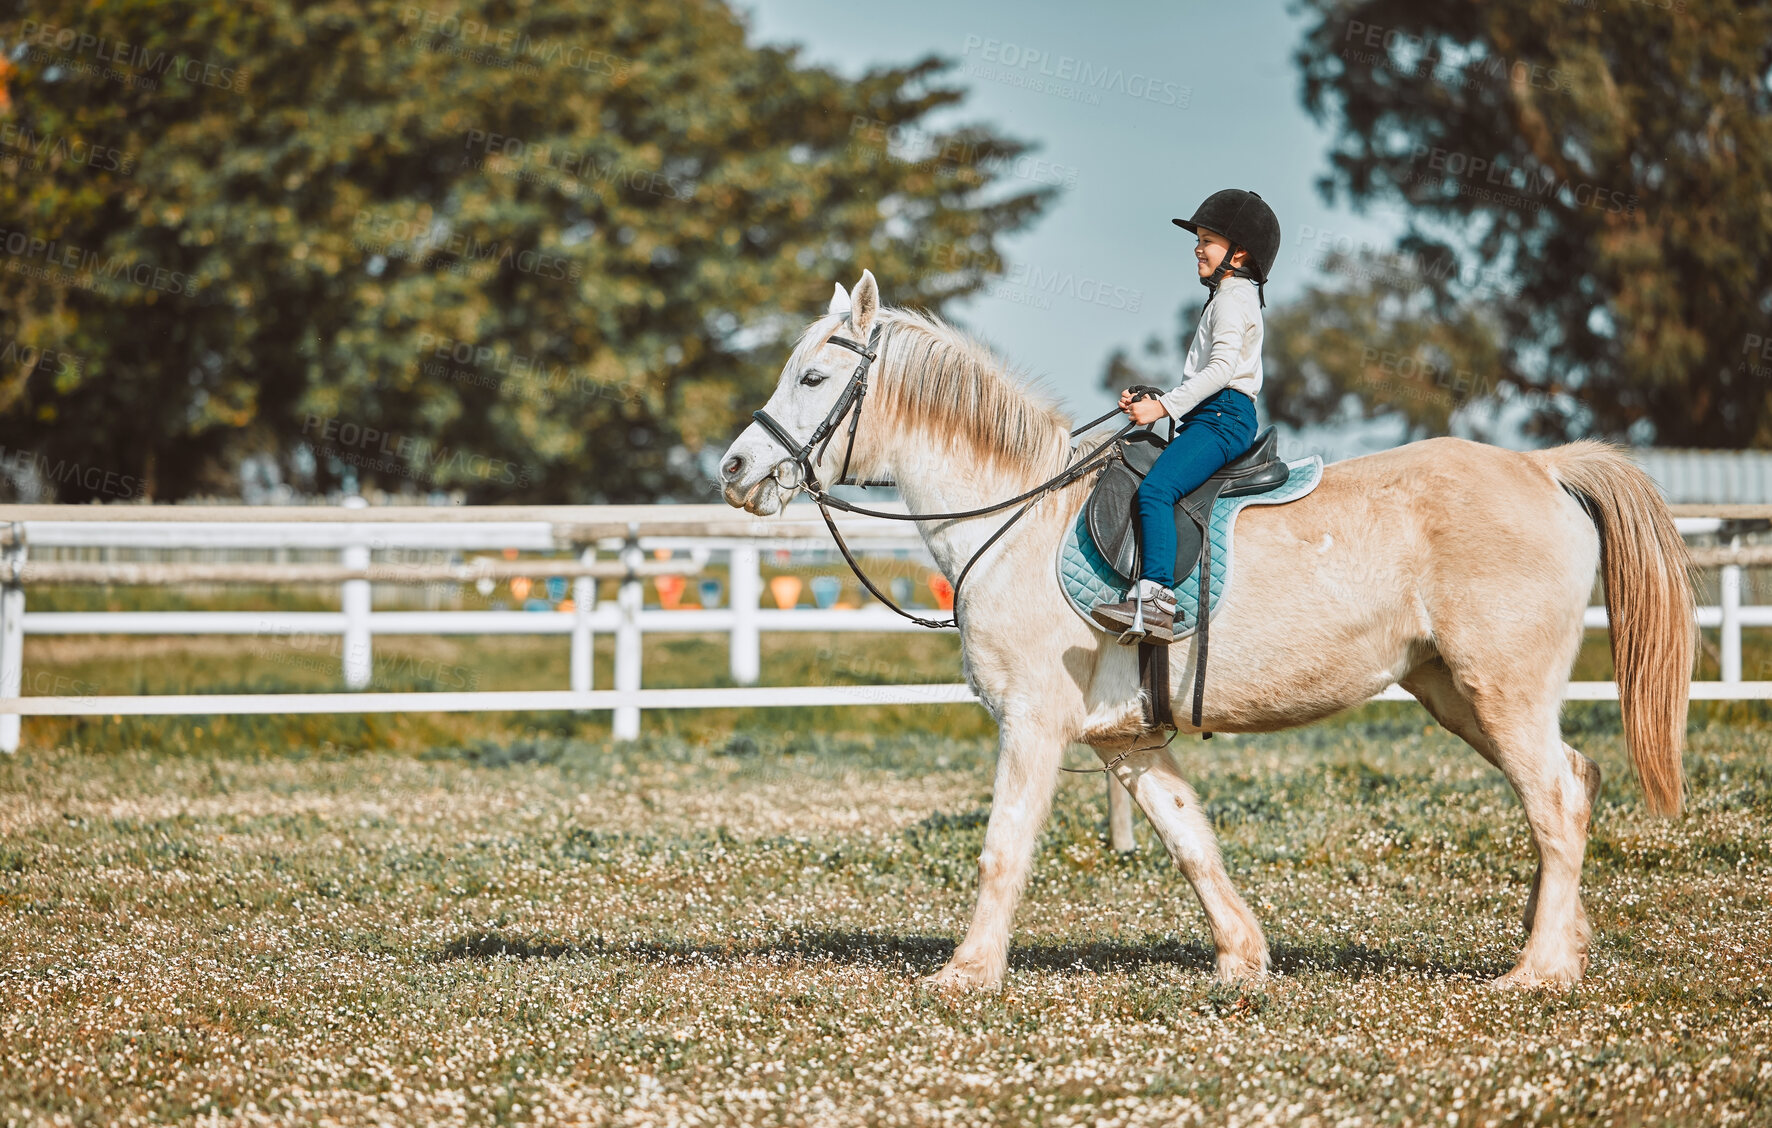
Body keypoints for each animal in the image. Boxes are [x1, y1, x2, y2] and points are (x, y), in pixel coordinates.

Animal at [712, 269, 1694, 991]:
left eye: (812, 378)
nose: (734, 469)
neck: (1020, 517)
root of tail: (1544, 467)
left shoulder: (1033, 725)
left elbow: (1003, 848)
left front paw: (967, 974)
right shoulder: (1125, 741)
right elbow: (1192, 842)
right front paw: (1241, 959)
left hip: (1502, 691)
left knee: (1556, 800)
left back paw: (1537, 970)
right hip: (1457, 695)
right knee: (1573, 782)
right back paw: (1564, 944)